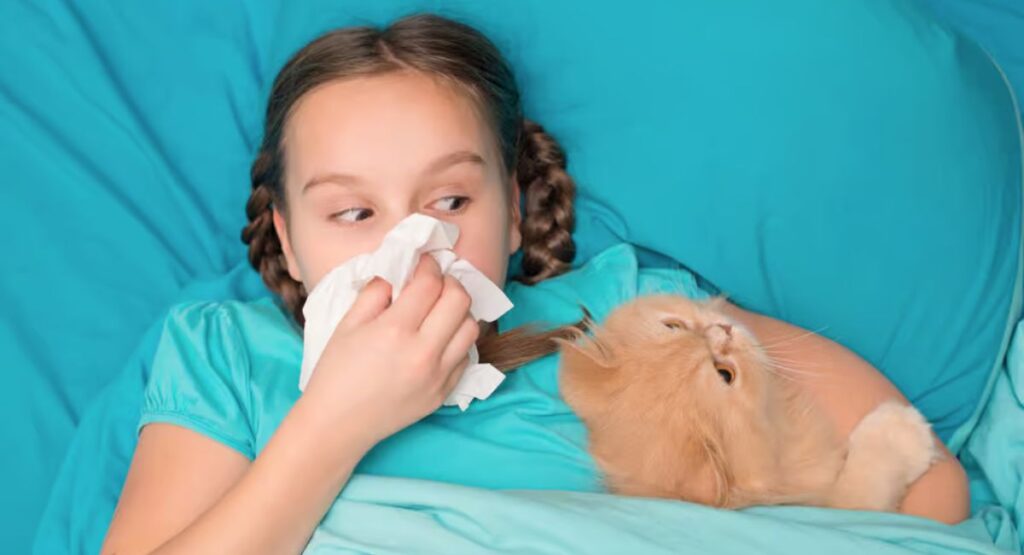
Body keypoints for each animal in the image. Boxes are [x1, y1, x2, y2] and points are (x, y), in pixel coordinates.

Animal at [557, 294, 937, 514]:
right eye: (725, 375)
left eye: (674, 326)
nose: (723, 328)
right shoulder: (824, 499)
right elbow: (867, 478)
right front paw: (905, 429)